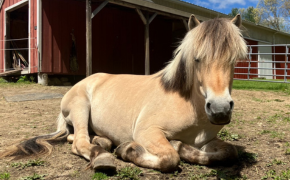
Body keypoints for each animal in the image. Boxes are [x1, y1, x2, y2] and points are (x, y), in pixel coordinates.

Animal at [0, 13, 247, 172]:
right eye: (196, 59)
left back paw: (103, 141)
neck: (188, 104)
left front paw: (181, 146)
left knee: (77, 136)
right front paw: (129, 150)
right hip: (81, 107)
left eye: (234, 60)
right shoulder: (148, 132)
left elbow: (229, 152)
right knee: (79, 142)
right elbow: (170, 158)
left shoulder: (207, 141)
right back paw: (104, 156)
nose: (220, 109)